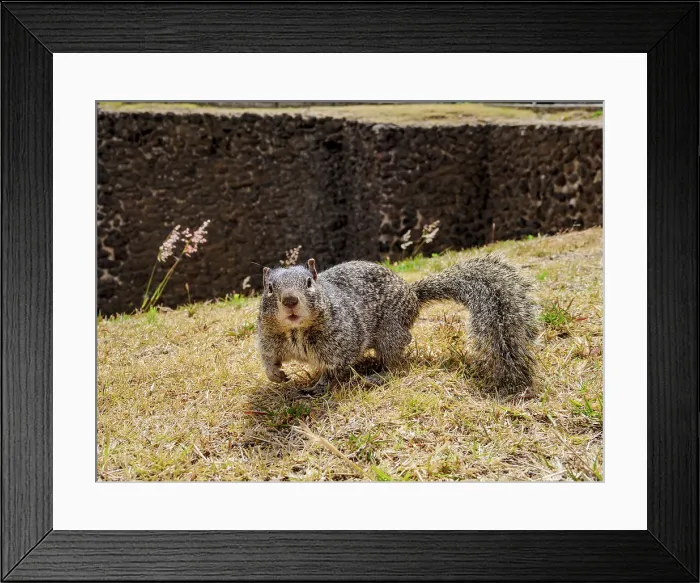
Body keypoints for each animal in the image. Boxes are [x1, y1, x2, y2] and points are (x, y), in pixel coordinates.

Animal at [256, 255, 537, 395]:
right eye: (269, 288)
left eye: (309, 283)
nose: (290, 300)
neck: (295, 330)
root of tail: (412, 294)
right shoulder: (269, 338)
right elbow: (268, 358)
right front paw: (276, 375)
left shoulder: (342, 343)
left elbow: (333, 370)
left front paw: (319, 386)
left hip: (389, 334)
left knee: (396, 359)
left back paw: (378, 375)